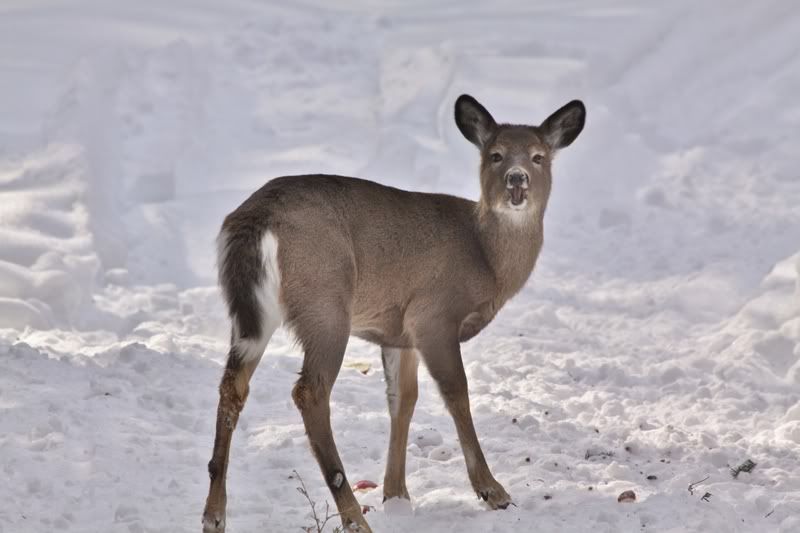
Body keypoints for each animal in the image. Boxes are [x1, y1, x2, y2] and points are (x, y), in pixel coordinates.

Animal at [203, 93, 584, 528]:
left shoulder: (400, 332)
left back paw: (214, 515)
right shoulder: (433, 314)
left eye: (539, 157)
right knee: (310, 391)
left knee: (233, 386)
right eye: (496, 155)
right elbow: (456, 391)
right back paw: (354, 518)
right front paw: (492, 491)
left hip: (253, 312)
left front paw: (397, 494)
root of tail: (257, 217)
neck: (485, 256)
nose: (517, 179)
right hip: (325, 301)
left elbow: (403, 399)